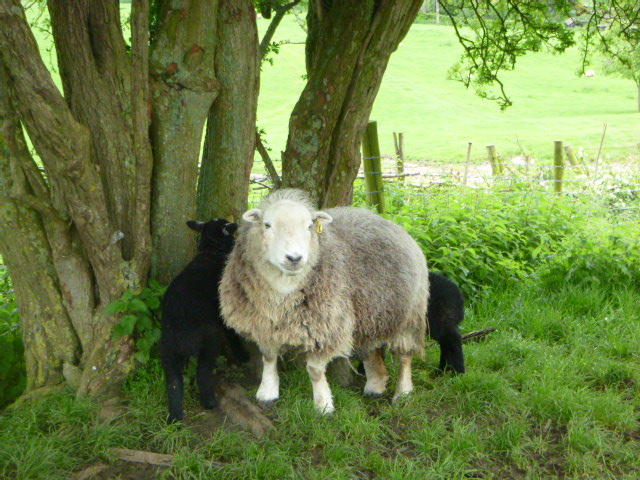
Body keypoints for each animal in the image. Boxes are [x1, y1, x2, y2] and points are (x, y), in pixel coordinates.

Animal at [160, 219, 250, 422]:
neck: (211, 253)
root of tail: (182, 331)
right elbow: (231, 332)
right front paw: (242, 355)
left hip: (168, 349)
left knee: (173, 381)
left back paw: (175, 416)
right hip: (209, 340)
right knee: (203, 371)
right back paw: (209, 402)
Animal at [220, 188, 430, 412]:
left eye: (309, 226)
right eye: (267, 225)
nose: (294, 258)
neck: (282, 293)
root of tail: (389, 222)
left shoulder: (325, 327)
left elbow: (314, 370)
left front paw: (323, 405)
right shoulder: (263, 324)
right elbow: (268, 357)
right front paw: (267, 392)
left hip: (410, 313)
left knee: (405, 356)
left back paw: (403, 392)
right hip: (371, 311)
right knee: (371, 348)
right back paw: (375, 385)